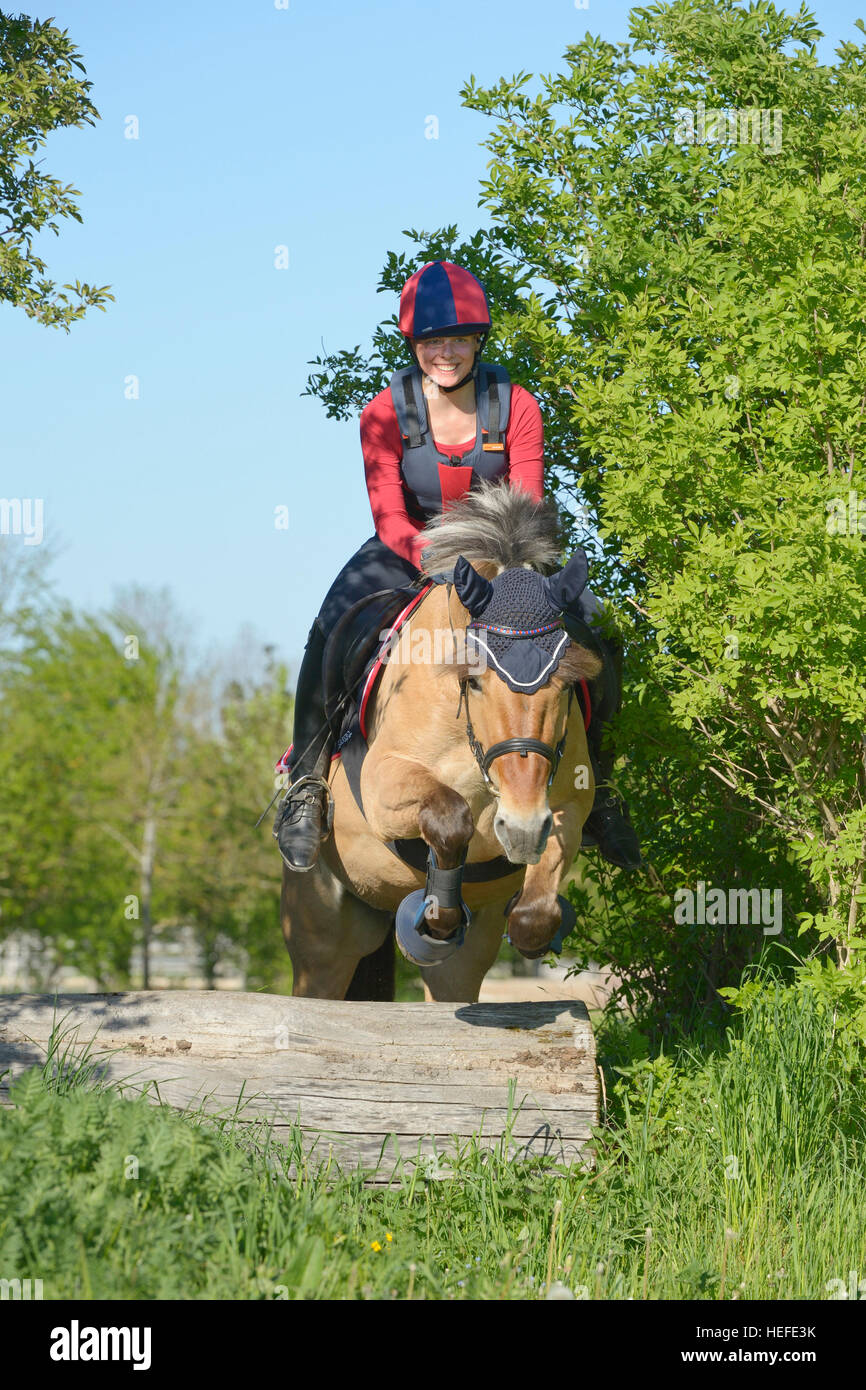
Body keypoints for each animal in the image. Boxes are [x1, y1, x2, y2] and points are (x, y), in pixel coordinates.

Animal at [280, 483, 602, 1002]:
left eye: (568, 684)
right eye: (473, 682)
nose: (520, 829)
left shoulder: (566, 805)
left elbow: (537, 904)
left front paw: (528, 924)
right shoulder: (384, 785)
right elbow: (451, 816)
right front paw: (435, 920)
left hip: (455, 966)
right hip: (321, 937)